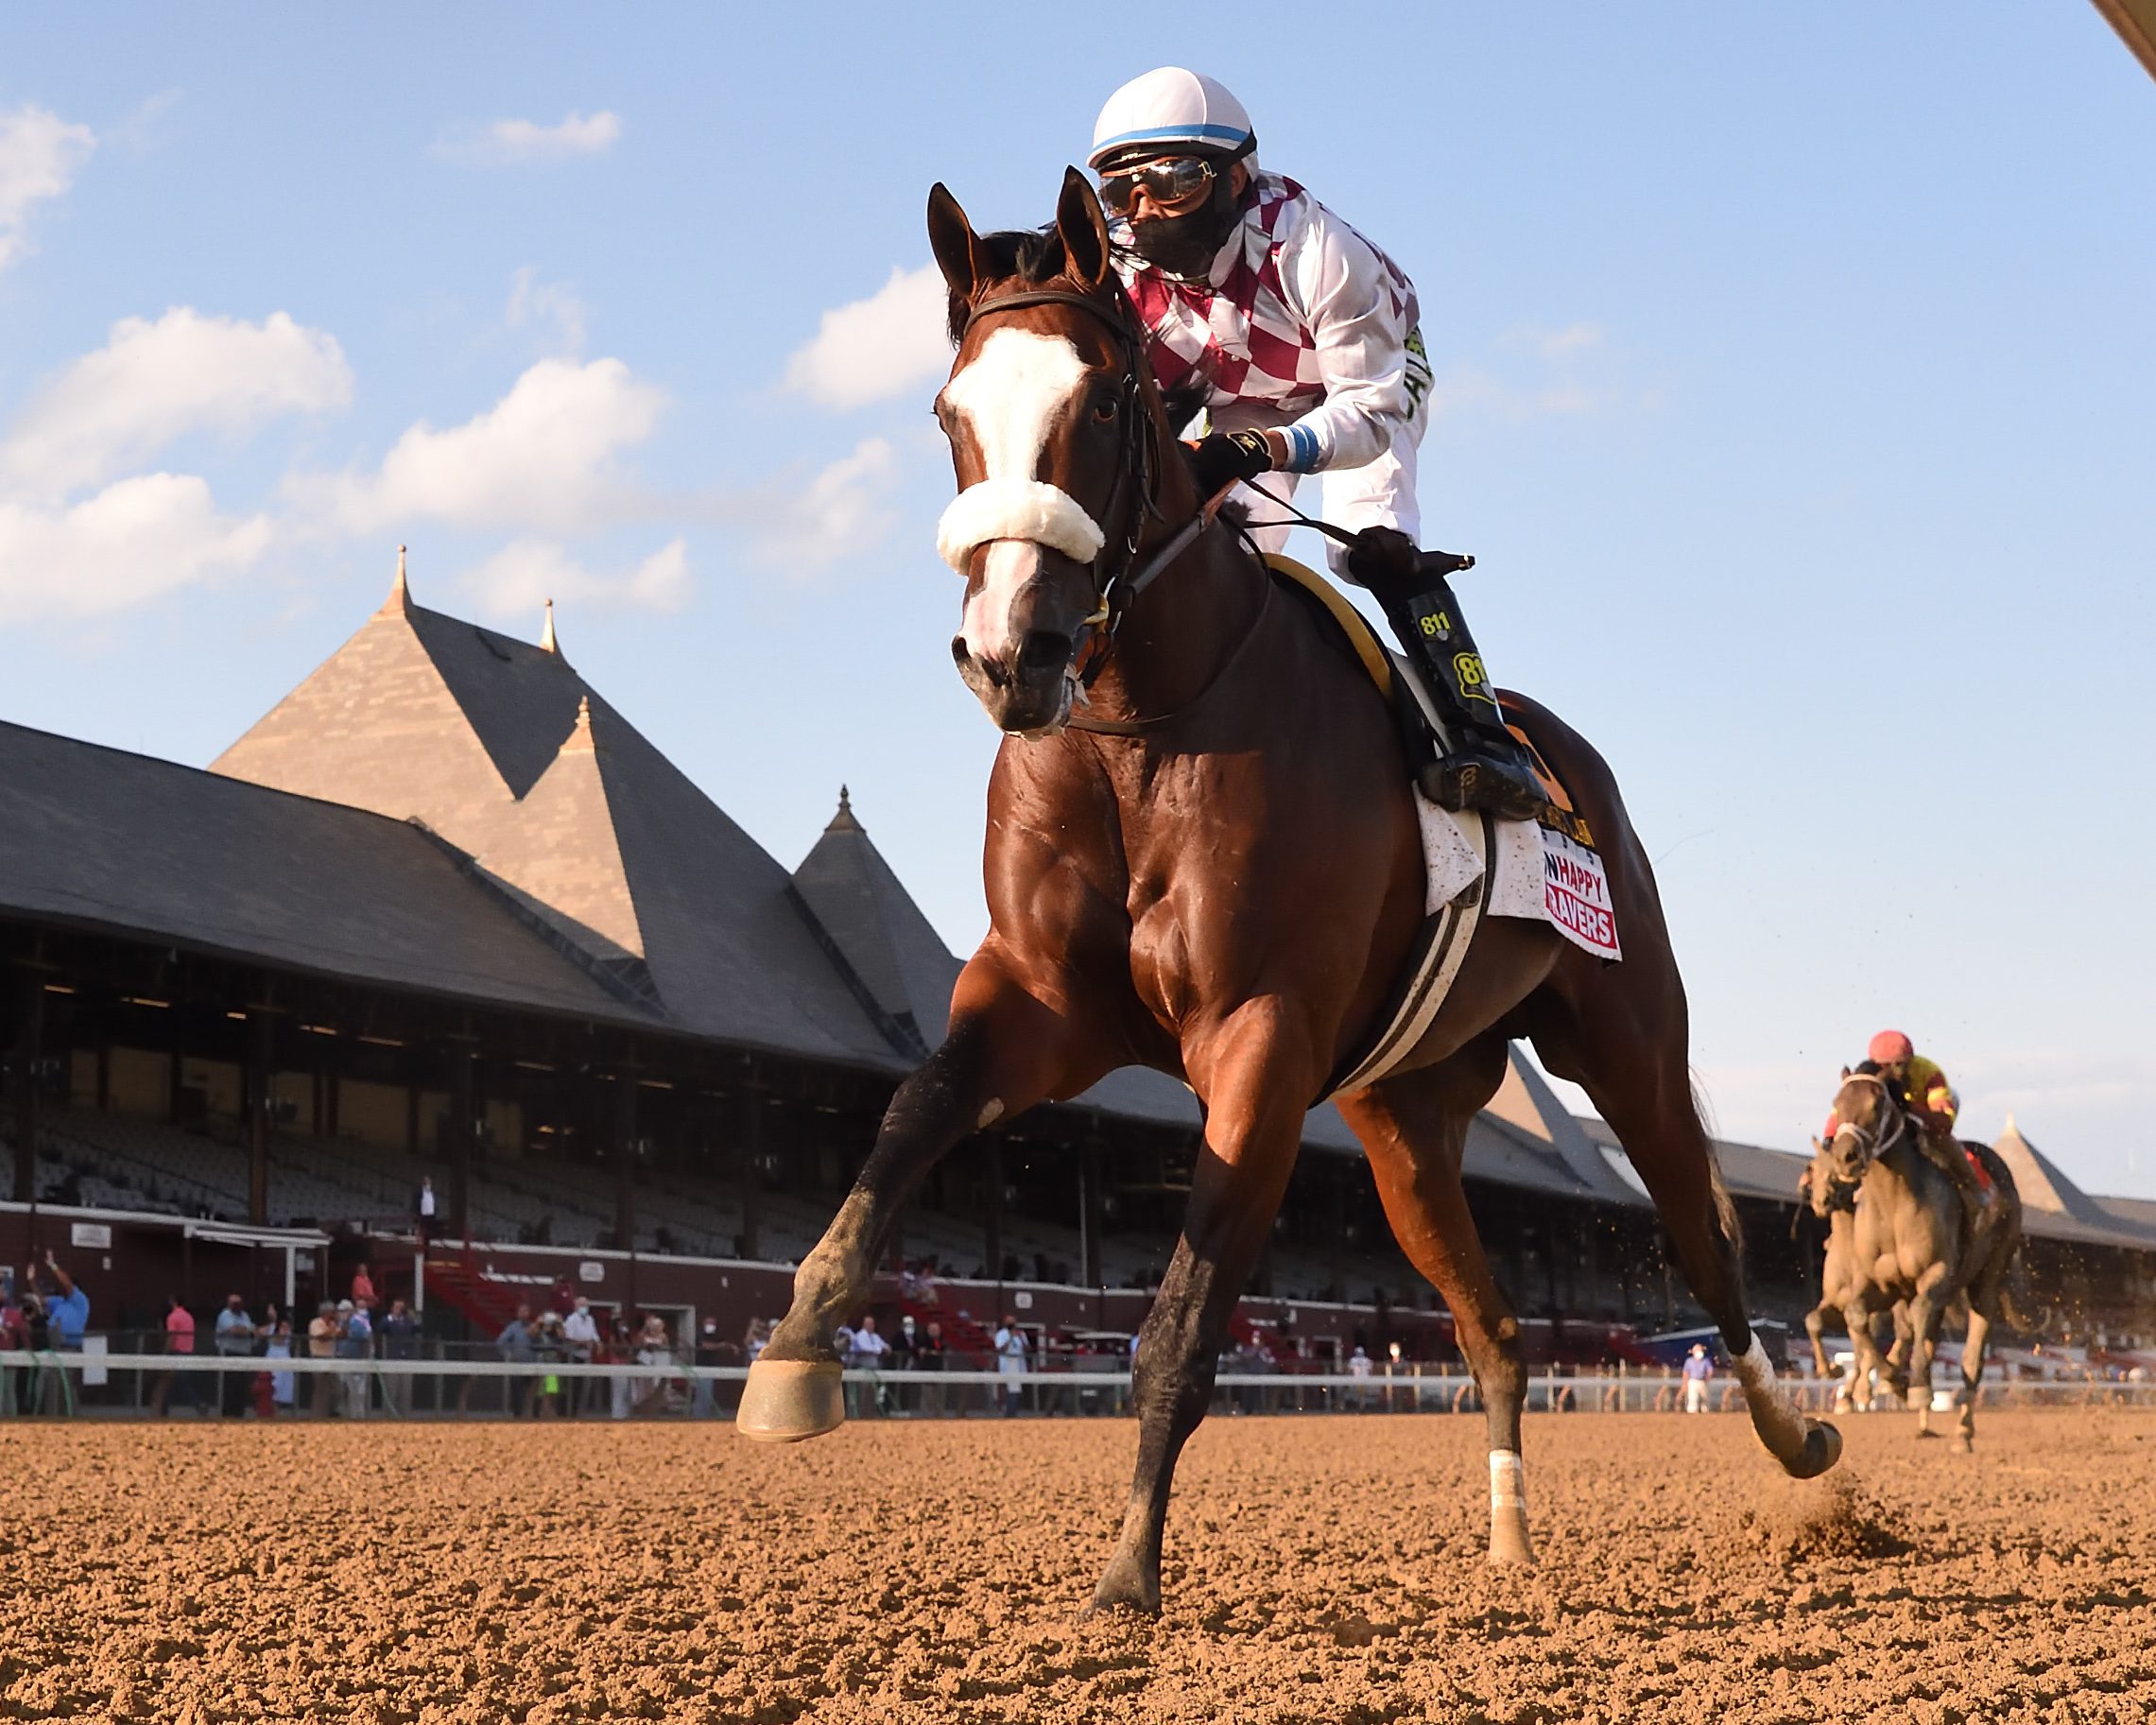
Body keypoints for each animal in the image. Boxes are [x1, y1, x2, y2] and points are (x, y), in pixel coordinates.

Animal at [736, 168, 1840, 1613]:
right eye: (947, 410)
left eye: (1102, 401)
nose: (1008, 652)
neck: (1145, 726)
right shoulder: (1041, 999)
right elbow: (911, 1112)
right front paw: (794, 1352)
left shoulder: (1255, 1038)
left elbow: (1180, 1324)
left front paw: (1126, 1579)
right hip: (1402, 1124)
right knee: (1495, 1328)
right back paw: (1509, 1542)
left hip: (1629, 1041)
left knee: (1706, 1246)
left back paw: (1799, 1437)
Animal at [1805, 1066, 2038, 1449]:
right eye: (1837, 1104)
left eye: (1877, 1103)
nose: (1846, 1157)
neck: (1893, 1206)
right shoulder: (1878, 1288)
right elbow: (1851, 1321)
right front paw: (1886, 1380)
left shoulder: (1936, 1275)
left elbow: (1909, 1323)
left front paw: (1908, 1386)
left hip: (1986, 1278)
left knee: (1971, 1354)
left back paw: (1962, 1429)